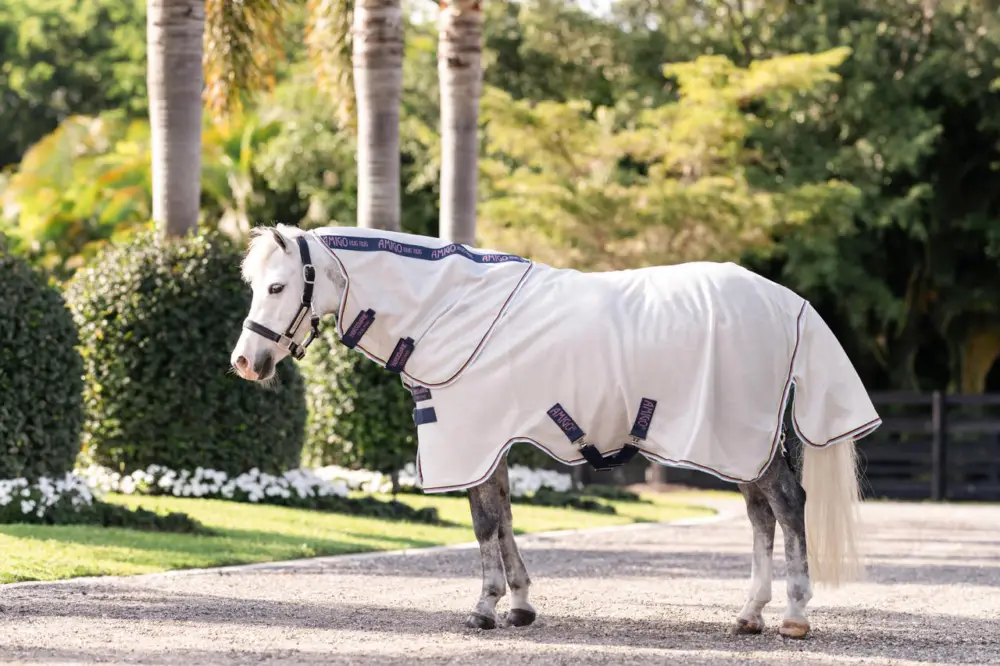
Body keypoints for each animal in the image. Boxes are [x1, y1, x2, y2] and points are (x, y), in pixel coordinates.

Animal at [230, 223, 880, 639]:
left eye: (279, 286)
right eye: (255, 286)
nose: (244, 363)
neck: (450, 306)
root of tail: (789, 303)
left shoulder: (470, 435)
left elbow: (484, 522)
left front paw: (485, 608)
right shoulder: (491, 440)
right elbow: (504, 516)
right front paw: (519, 605)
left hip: (738, 438)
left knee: (787, 504)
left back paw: (794, 616)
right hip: (742, 445)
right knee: (761, 515)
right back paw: (749, 614)